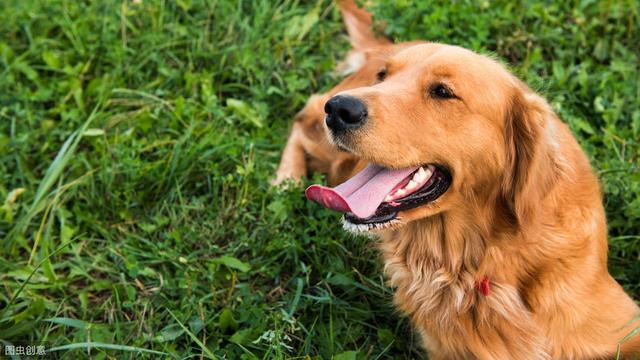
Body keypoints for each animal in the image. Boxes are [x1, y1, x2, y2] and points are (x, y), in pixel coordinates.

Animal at [276, 1, 640, 358]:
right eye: (383, 76)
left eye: (442, 91)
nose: (339, 109)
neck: (482, 262)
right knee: (305, 112)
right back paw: (284, 182)